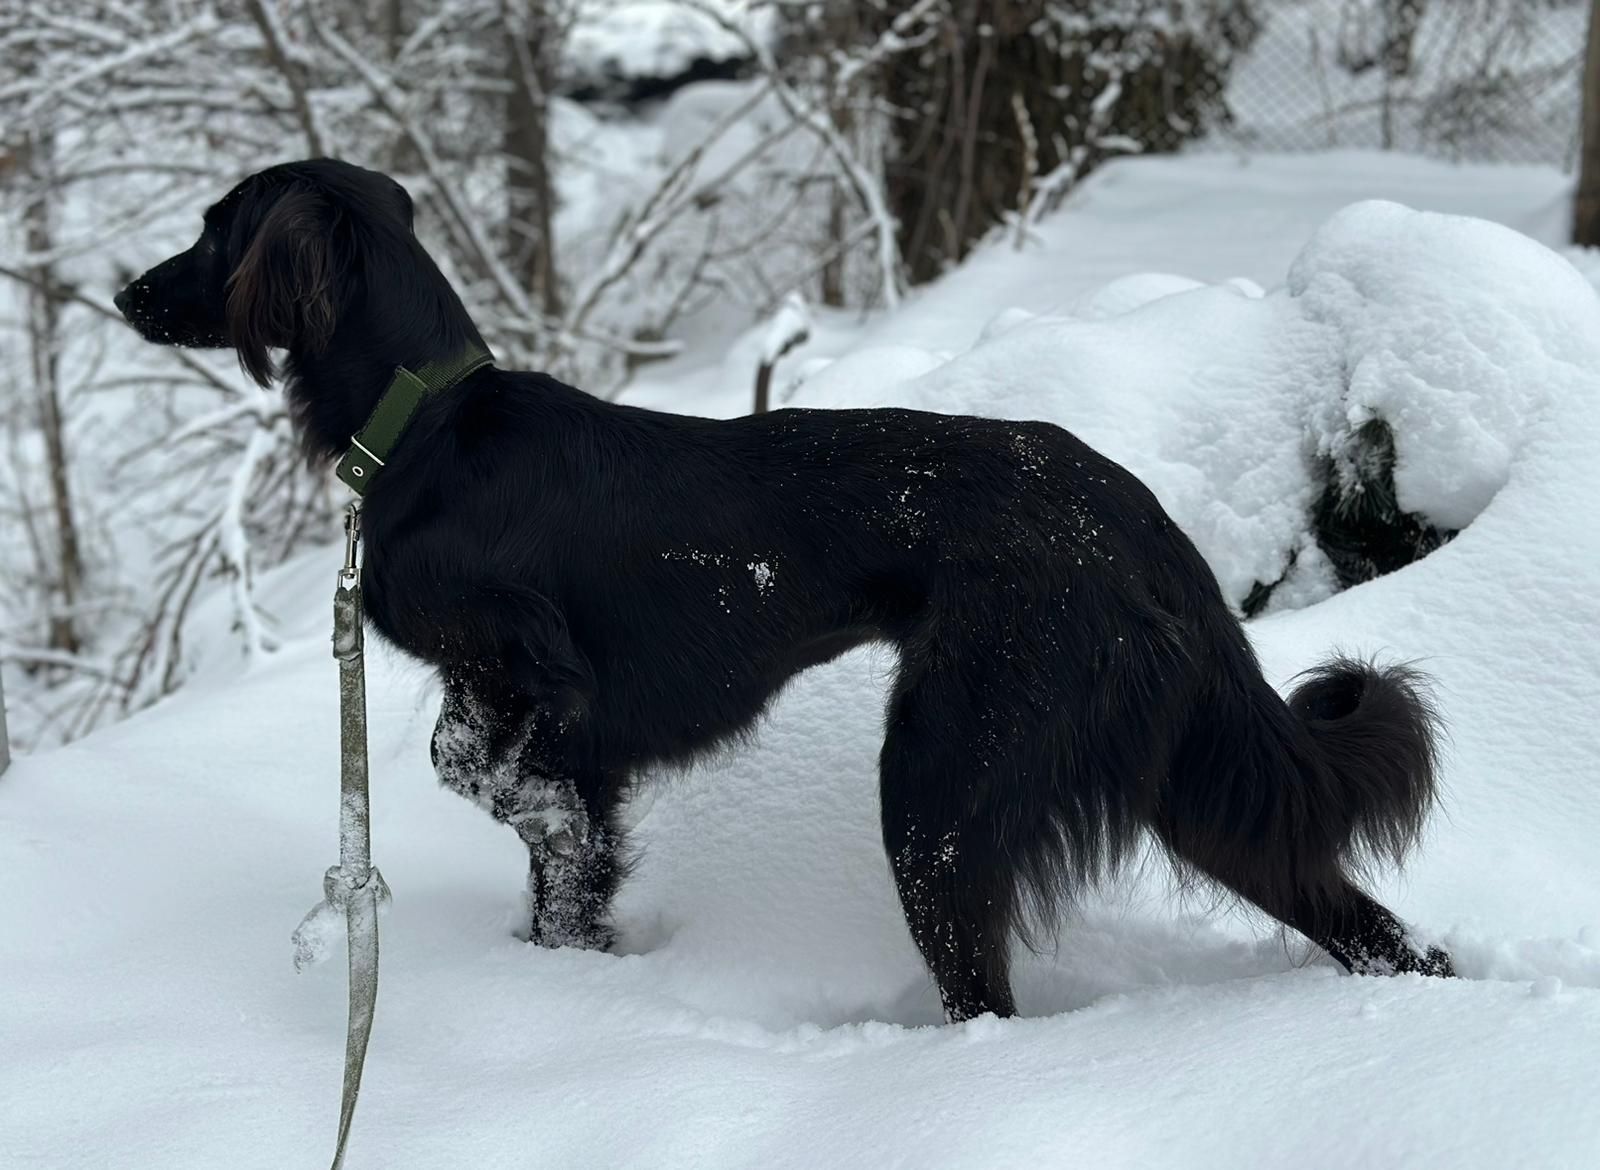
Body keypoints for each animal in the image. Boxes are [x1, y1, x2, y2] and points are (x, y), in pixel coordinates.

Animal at [118, 160, 1459, 1017]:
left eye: (214, 227)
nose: (127, 291)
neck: (429, 425)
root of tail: (1138, 518)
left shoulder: (545, 701)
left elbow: (511, 798)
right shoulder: (577, 749)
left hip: (942, 788)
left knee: (987, 993)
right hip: (1181, 773)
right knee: (1370, 926)